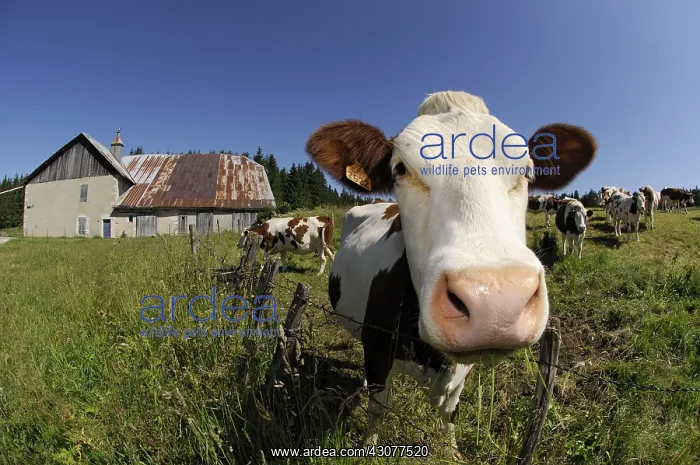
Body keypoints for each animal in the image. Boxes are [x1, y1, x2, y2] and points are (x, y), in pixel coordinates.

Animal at [304, 90, 597, 458]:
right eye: (400, 168)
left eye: (527, 172)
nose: (497, 303)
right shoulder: (377, 346)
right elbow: (378, 407)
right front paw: (369, 447)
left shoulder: (464, 368)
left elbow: (449, 410)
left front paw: (451, 449)